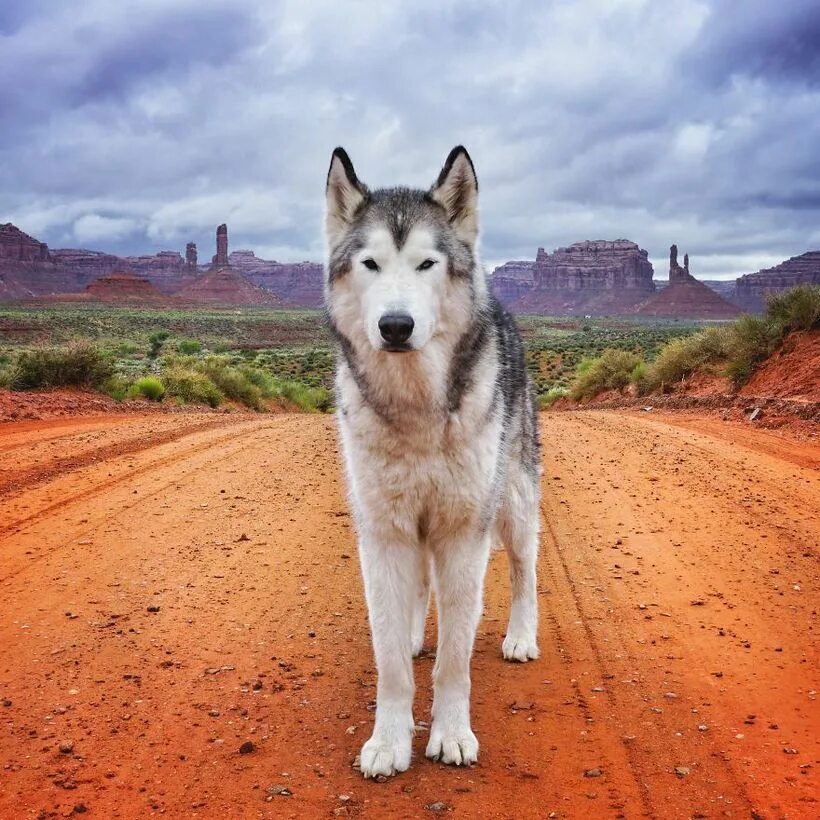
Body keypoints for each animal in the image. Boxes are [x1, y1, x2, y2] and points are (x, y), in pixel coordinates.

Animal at [324, 144, 540, 780]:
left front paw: (451, 735)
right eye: (370, 264)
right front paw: (388, 741)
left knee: (525, 570)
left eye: (426, 264)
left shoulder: (463, 532)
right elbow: (391, 662)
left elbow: (455, 662)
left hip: (513, 503)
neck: (415, 407)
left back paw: (521, 637)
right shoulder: (384, 532)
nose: (396, 325)